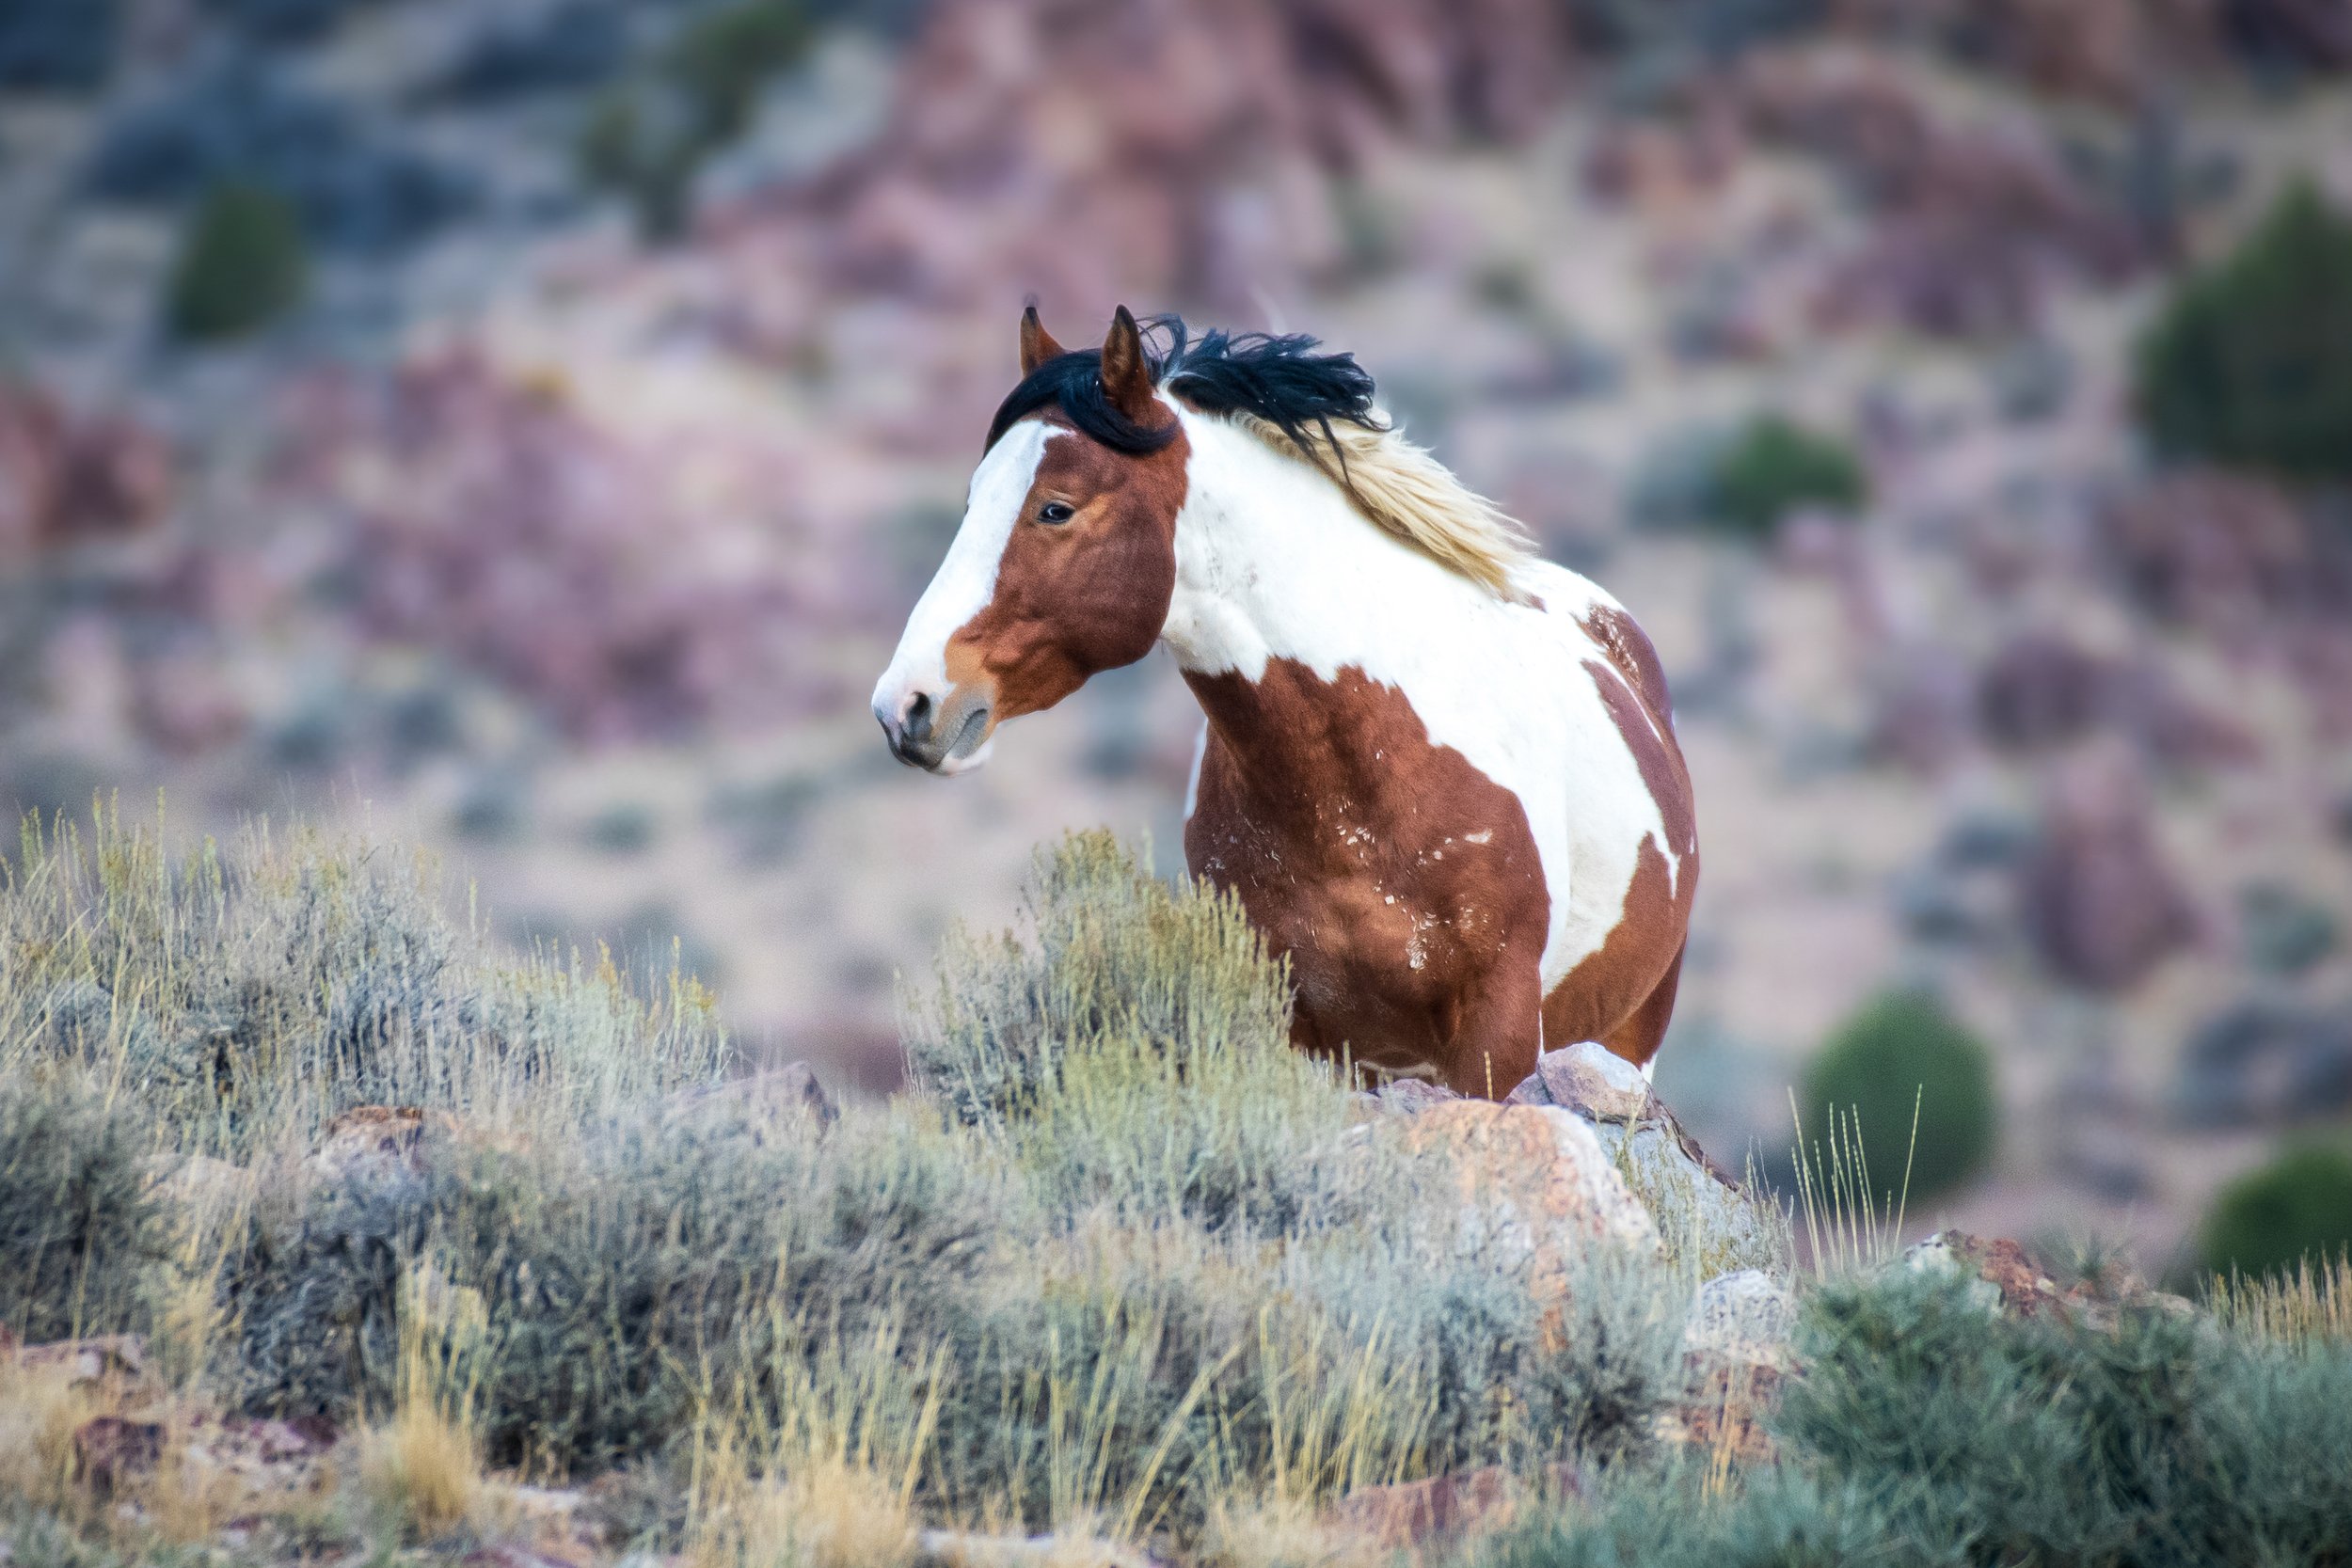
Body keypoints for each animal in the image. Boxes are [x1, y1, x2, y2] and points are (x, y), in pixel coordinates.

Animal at [873, 305, 1697, 1097]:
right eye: (974, 500)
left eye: (1056, 508)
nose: (905, 704)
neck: (1363, 783)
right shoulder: (1298, 1029)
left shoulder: (1497, 1031)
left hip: (1627, 1036)